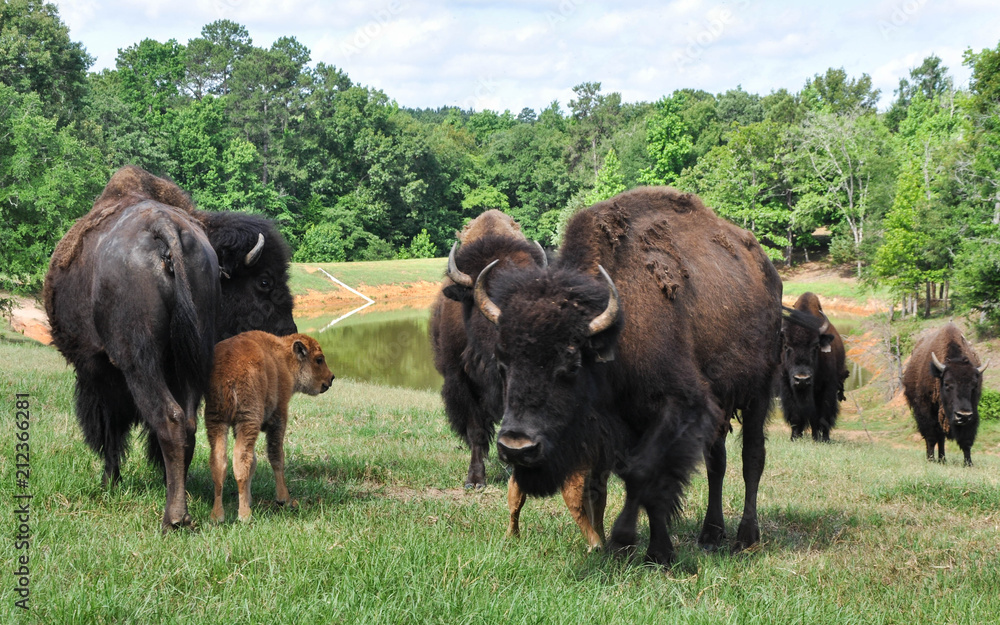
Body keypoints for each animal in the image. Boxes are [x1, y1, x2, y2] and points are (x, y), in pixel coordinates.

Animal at [44, 166, 296, 530]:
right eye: (265, 281)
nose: (290, 333)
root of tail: (166, 232)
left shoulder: (98, 374)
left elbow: (109, 430)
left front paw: (110, 483)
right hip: (190, 362)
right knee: (187, 424)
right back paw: (180, 500)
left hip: (140, 365)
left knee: (168, 419)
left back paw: (174, 517)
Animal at [474, 187, 784, 565]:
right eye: (503, 362)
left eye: (571, 364)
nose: (517, 447)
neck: (617, 334)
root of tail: (767, 271)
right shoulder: (620, 426)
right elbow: (621, 483)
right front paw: (644, 548)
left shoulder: (678, 407)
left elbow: (645, 474)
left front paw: (631, 543)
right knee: (717, 462)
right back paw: (711, 534)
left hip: (758, 391)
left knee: (752, 458)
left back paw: (745, 537)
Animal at [779, 292, 848, 442]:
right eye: (786, 346)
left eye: (815, 346)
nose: (802, 379)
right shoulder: (787, 386)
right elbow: (795, 415)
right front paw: (794, 437)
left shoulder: (827, 387)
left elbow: (823, 415)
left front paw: (824, 439)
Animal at [903, 323, 988, 466]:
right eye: (947, 384)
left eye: (974, 385)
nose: (963, 415)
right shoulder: (926, 411)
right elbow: (931, 437)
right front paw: (930, 459)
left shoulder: (972, 411)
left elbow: (966, 440)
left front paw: (968, 463)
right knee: (936, 437)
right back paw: (937, 459)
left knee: (941, 438)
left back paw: (942, 459)